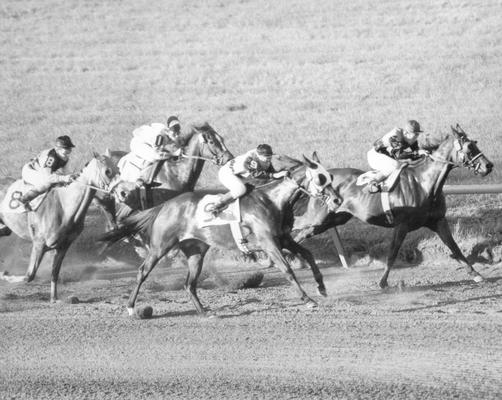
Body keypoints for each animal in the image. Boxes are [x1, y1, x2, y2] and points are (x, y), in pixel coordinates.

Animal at [0, 154, 119, 304]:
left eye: (118, 169)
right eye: (107, 171)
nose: (122, 192)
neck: (65, 207)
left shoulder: (63, 246)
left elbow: (54, 273)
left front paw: (54, 298)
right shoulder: (39, 244)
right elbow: (29, 276)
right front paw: (4, 274)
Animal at [99, 155, 342, 316]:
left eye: (330, 176)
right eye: (320, 179)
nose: (338, 200)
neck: (273, 201)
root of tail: (165, 205)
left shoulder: (284, 239)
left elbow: (308, 255)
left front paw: (321, 287)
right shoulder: (269, 243)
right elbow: (288, 270)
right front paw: (307, 299)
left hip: (195, 251)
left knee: (189, 284)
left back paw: (205, 312)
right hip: (161, 246)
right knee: (142, 272)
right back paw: (131, 308)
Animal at [294, 125, 494, 288]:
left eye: (475, 143)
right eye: (469, 148)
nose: (489, 166)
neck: (424, 183)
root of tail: (320, 178)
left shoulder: (438, 221)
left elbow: (455, 248)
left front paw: (476, 274)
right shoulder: (401, 225)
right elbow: (392, 254)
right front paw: (382, 282)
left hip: (333, 219)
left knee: (301, 234)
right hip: (318, 217)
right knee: (295, 228)